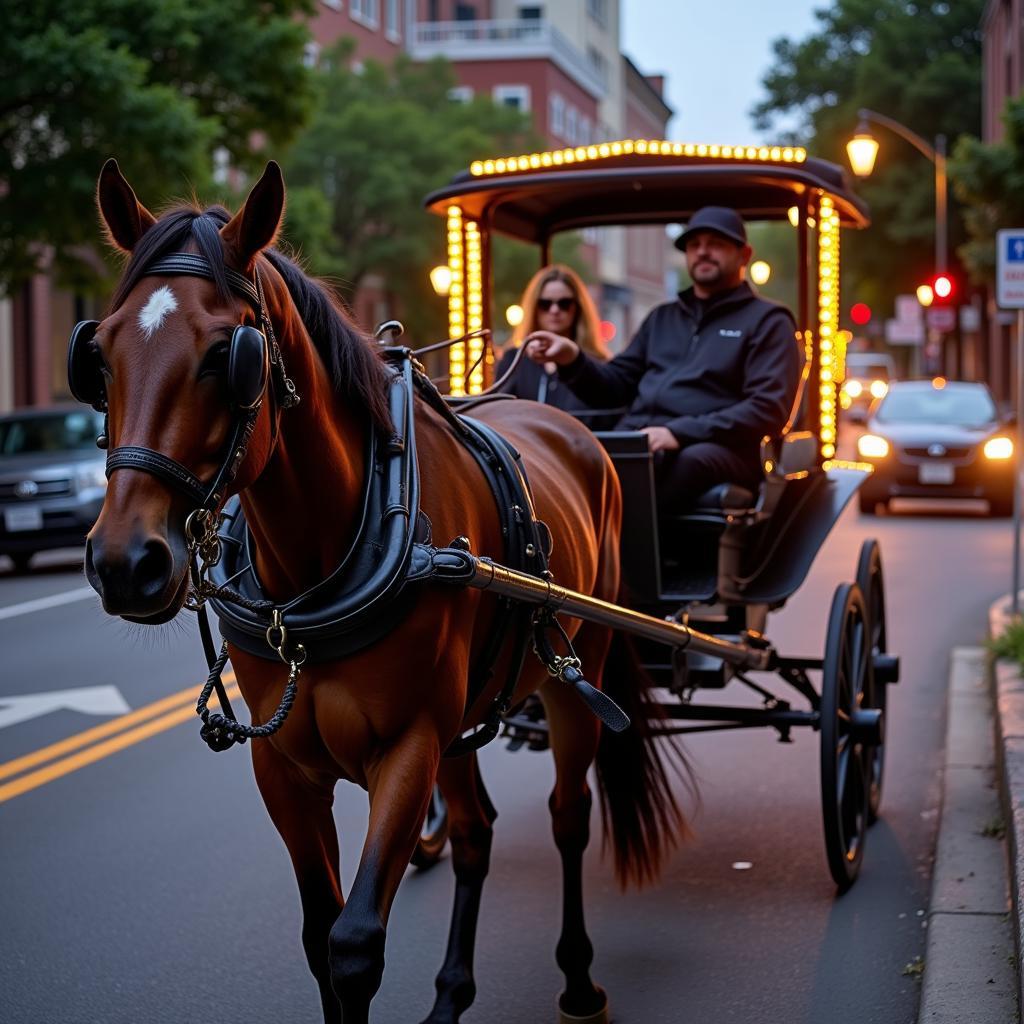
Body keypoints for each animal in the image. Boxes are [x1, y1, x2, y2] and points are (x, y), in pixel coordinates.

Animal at [79, 159, 688, 1024]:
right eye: (98, 353)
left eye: (227, 353)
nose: (126, 562)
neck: (317, 569)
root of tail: (575, 430)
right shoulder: (286, 768)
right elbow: (317, 937)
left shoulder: (408, 746)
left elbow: (355, 944)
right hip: (467, 715)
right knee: (474, 833)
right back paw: (452, 995)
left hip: (578, 675)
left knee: (570, 817)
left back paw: (578, 981)